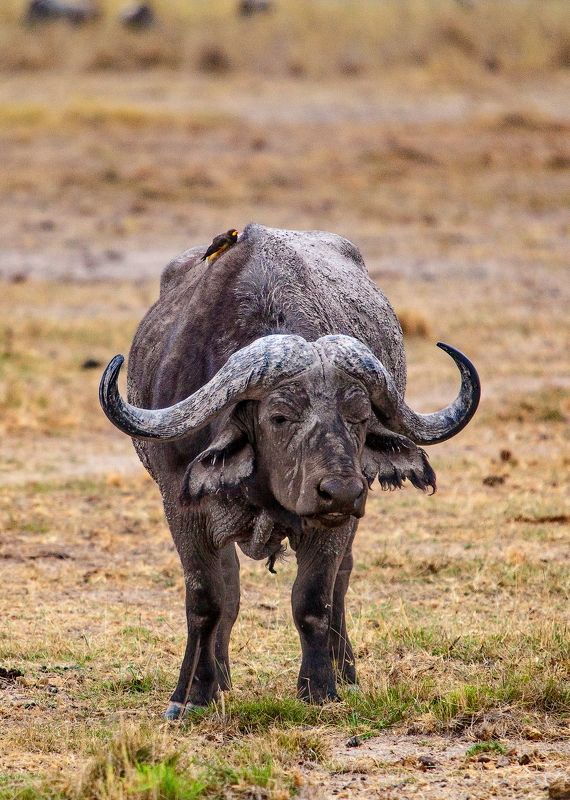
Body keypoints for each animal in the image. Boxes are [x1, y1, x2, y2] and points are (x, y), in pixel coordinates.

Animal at [100, 224, 480, 718]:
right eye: (279, 416)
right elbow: (207, 599)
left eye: (359, 416)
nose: (341, 491)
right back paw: (218, 678)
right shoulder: (182, 509)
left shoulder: (334, 524)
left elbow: (313, 599)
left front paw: (320, 687)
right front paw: (193, 695)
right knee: (229, 588)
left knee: (340, 582)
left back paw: (346, 673)